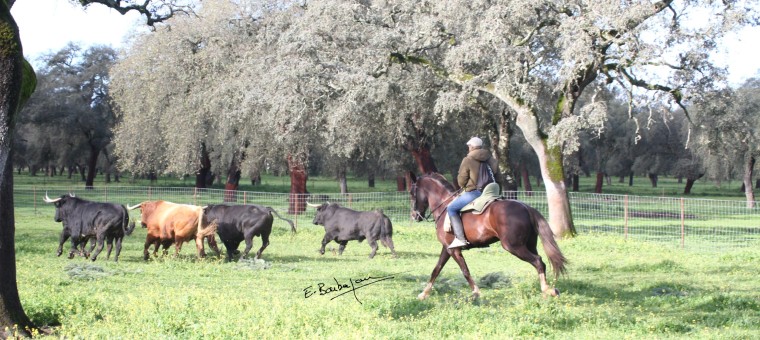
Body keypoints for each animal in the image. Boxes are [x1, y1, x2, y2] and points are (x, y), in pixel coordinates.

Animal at [410, 171, 564, 298]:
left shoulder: (454, 250)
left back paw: (547, 290)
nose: (414, 216)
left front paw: (476, 292)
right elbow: (436, 269)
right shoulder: (447, 248)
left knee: (538, 261)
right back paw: (548, 288)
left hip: (513, 247)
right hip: (530, 245)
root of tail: (526, 207)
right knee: (541, 262)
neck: (444, 205)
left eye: (412, 193)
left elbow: (465, 270)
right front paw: (424, 293)